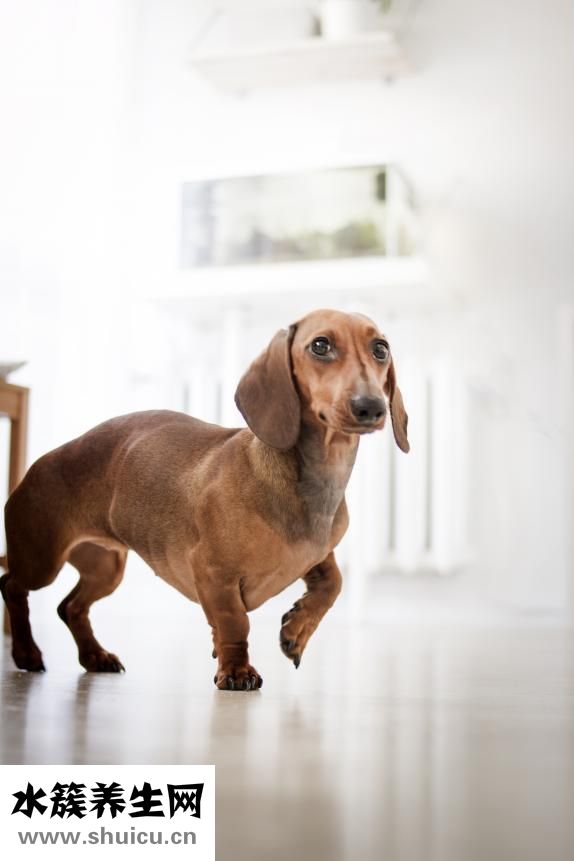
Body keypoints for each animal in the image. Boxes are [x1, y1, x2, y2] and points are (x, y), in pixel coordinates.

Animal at [1, 309, 409, 689]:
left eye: (380, 349)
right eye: (320, 345)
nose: (371, 407)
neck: (312, 481)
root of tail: (43, 461)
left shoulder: (318, 554)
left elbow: (333, 583)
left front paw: (296, 630)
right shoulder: (212, 571)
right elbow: (234, 622)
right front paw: (236, 669)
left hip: (106, 568)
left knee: (70, 607)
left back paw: (94, 656)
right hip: (42, 560)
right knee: (12, 585)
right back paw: (27, 653)